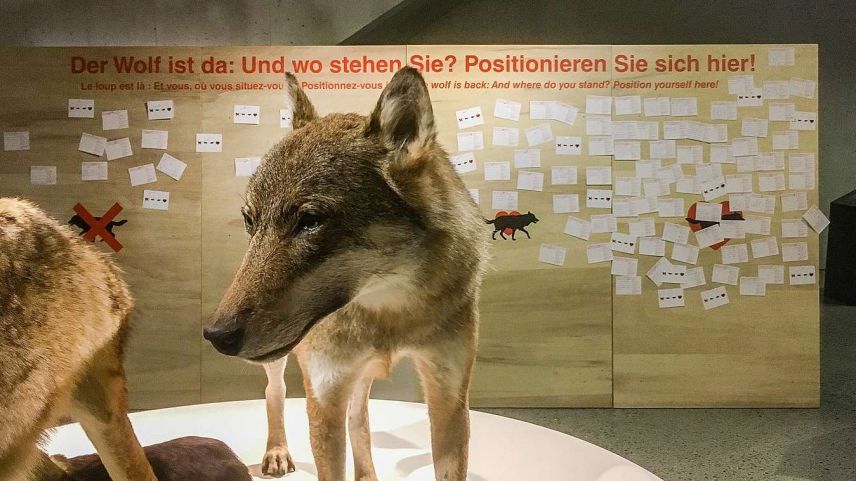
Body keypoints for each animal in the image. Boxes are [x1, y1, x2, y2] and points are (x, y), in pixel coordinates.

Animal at [205, 67, 488, 481]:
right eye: (249, 220)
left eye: (309, 221)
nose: (215, 335)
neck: (389, 310)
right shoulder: (325, 398)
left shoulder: (449, 396)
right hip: (288, 366)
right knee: (275, 393)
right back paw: (276, 452)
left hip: (361, 377)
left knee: (360, 417)